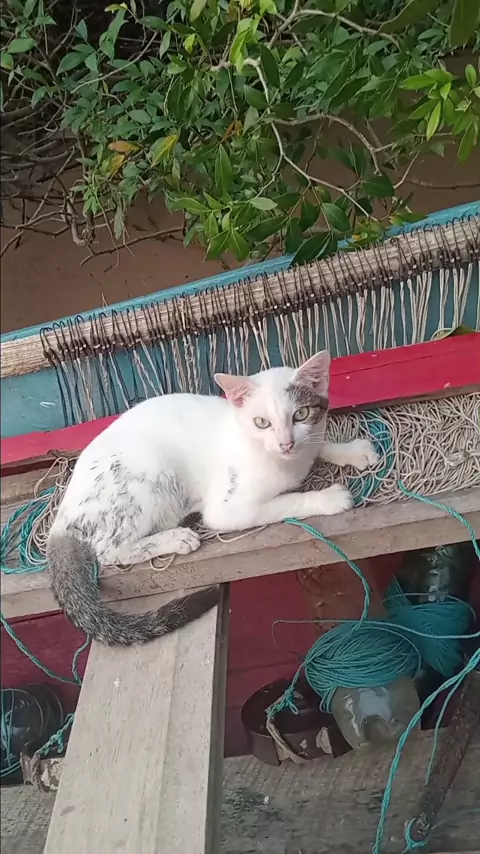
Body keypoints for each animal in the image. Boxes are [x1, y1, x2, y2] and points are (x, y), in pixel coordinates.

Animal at [47, 350, 378, 645]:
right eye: (262, 423)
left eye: (301, 414)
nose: (286, 443)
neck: (283, 461)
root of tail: (60, 519)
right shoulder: (227, 508)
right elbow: (285, 502)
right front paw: (328, 499)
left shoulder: (306, 445)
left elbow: (317, 445)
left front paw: (352, 451)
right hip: (148, 469)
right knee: (109, 550)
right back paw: (176, 538)